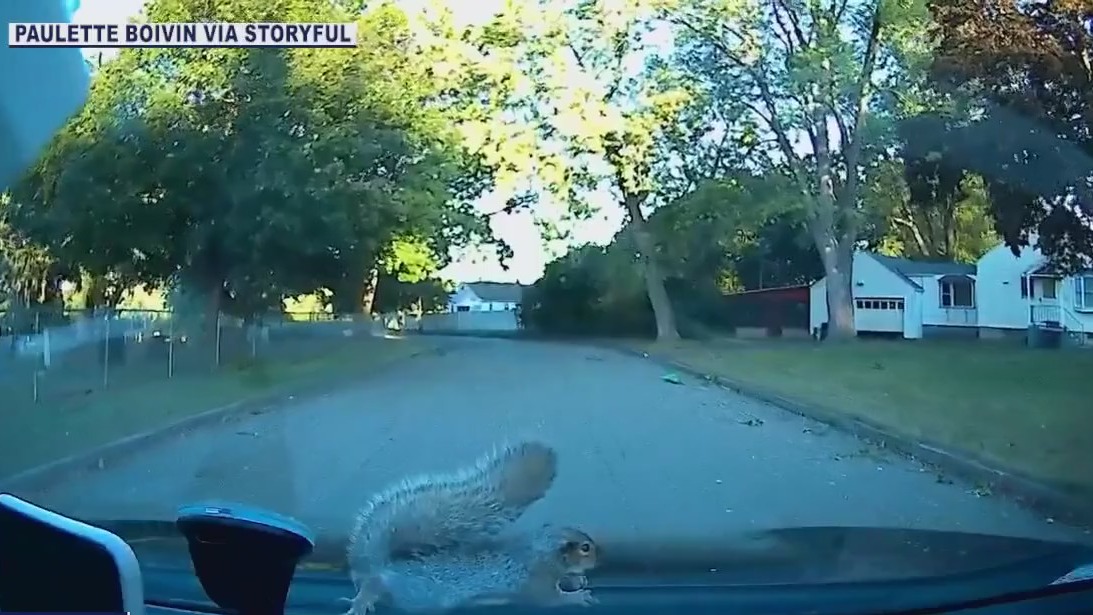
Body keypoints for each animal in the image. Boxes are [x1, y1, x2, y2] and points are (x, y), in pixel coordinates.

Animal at [343, 441, 599, 613]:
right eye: (585, 548)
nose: (598, 559)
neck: (539, 551)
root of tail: (377, 565)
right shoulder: (536, 582)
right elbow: (549, 600)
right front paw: (577, 596)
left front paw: (576, 580)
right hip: (389, 588)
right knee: (371, 588)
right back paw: (360, 603)